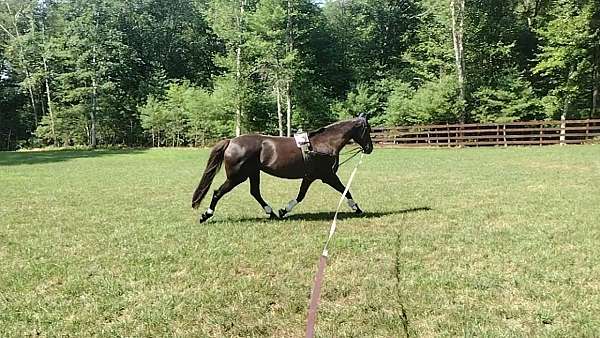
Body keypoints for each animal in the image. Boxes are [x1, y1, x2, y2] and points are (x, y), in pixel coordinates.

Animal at [192, 115, 372, 223]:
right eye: (367, 130)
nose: (369, 148)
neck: (324, 143)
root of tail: (231, 141)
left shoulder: (310, 177)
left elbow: (300, 196)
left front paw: (283, 211)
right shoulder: (327, 176)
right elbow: (345, 191)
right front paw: (357, 208)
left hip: (253, 173)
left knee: (255, 193)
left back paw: (271, 213)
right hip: (237, 177)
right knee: (218, 192)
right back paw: (206, 215)